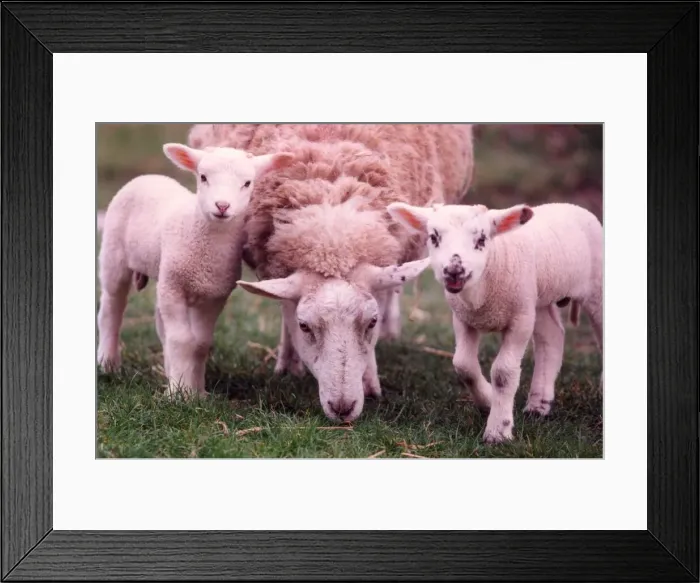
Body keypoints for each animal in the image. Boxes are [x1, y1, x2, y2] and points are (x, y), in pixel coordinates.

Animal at [96, 142, 294, 396]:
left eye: (247, 183)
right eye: (203, 177)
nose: (222, 206)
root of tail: (148, 176)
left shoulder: (213, 296)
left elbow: (199, 343)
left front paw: (196, 392)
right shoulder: (175, 287)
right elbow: (182, 340)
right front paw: (178, 394)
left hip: (163, 274)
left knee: (160, 325)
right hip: (114, 254)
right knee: (112, 307)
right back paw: (108, 364)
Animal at [187, 124, 474, 422]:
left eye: (371, 322)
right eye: (304, 325)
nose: (343, 408)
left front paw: (370, 380)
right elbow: (286, 310)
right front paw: (288, 365)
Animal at [387, 201, 603, 443]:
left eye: (481, 239)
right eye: (434, 237)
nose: (454, 271)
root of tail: (571, 205)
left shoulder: (520, 320)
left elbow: (503, 372)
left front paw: (498, 431)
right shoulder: (463, 318)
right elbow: (463, 365)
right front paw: (488, 399)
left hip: (595, 288)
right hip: (538, 299)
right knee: (552, 338)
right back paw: (539, 405)